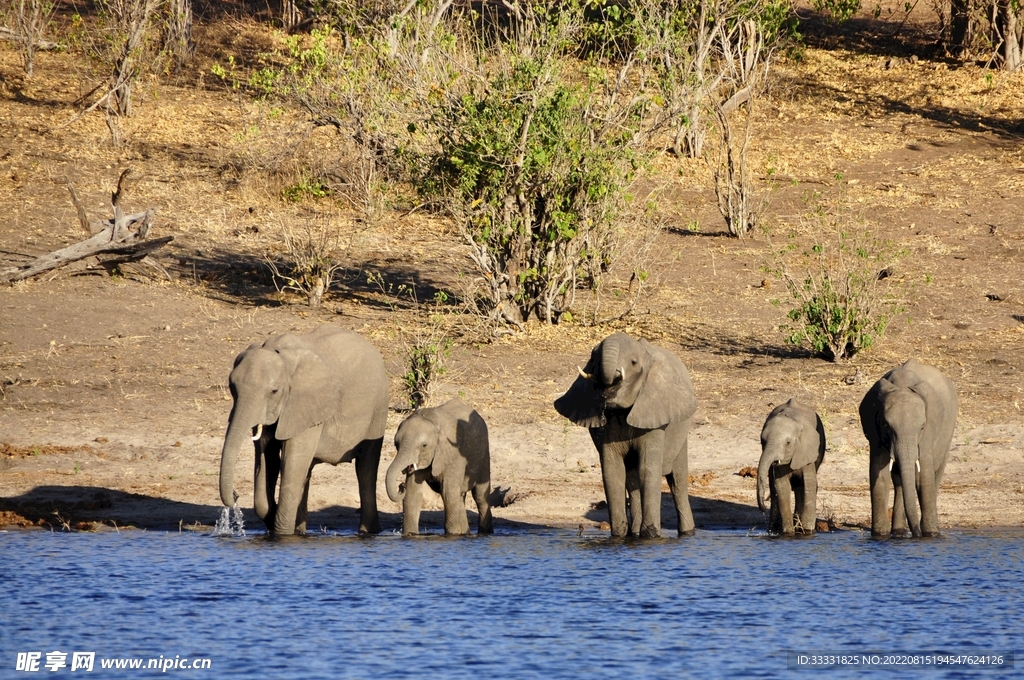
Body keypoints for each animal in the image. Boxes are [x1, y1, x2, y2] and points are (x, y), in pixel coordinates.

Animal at [219, 325, 388, 536]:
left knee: (366, 467)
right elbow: (268, 458)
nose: (235, 495)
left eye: (274, 391)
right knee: (307, 470)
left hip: (377, 408)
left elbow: (291, 462)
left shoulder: (306, 403)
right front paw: (274, 520)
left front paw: (282, 534)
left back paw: (368, 533)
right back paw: (300, 532)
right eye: (232, 387)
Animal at [385, 399, 493, 535]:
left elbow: (448, 493)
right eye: (396, 444)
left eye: (424, 445)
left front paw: (451, 535)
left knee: (480, 496)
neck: (431, 421)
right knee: (460, 496)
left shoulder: (454, 454)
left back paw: (485, 533)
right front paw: (411, 535)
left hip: (483, 455)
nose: (400, 486)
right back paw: (465, 533)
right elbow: (413, 494)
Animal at [554, 332, 698, 538]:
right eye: (592, 358)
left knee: (677, 483)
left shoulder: (653, 418)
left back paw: (686, 533)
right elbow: (613, 472)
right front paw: (619, 536)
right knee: (632, 482)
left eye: (633, 362)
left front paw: (651, 536)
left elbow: (648, 470)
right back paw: (634, 534)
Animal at [757, 398, 826, 535]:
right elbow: (782, 487)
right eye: (763, 441)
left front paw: (807, 531)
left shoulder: (807, 451)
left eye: (788, 443)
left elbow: (809, 485)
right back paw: (774, 530)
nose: (763, 507)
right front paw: (788, 533)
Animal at [859, 358, 958, 538]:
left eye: (922, 427)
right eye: (886, 425)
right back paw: (898, 532)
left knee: (935, 475)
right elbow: (880, 476)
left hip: (949, 431)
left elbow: (922, 478)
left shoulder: (927, 435)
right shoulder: (876, 434)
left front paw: (931, 534)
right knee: (899, 480)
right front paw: (880, 535)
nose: (916, 533)